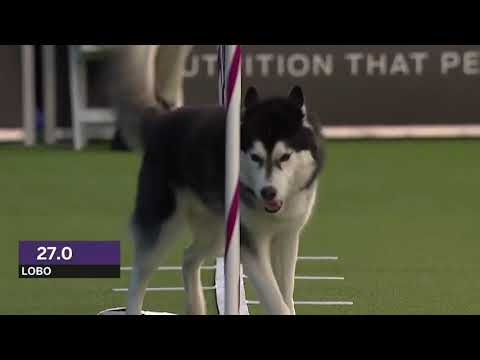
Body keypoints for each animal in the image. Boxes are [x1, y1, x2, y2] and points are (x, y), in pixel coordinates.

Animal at [119, 83, 326, 314]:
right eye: (255, 157)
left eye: (285, 157)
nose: (268, 192)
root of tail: (162, 121)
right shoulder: (248, 243)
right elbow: (274, 299)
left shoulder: (287, 236)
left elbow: (286, 294)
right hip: (164, 228)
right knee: (140, 274)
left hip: (217, 235)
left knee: (188, 257)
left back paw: (196, 305)